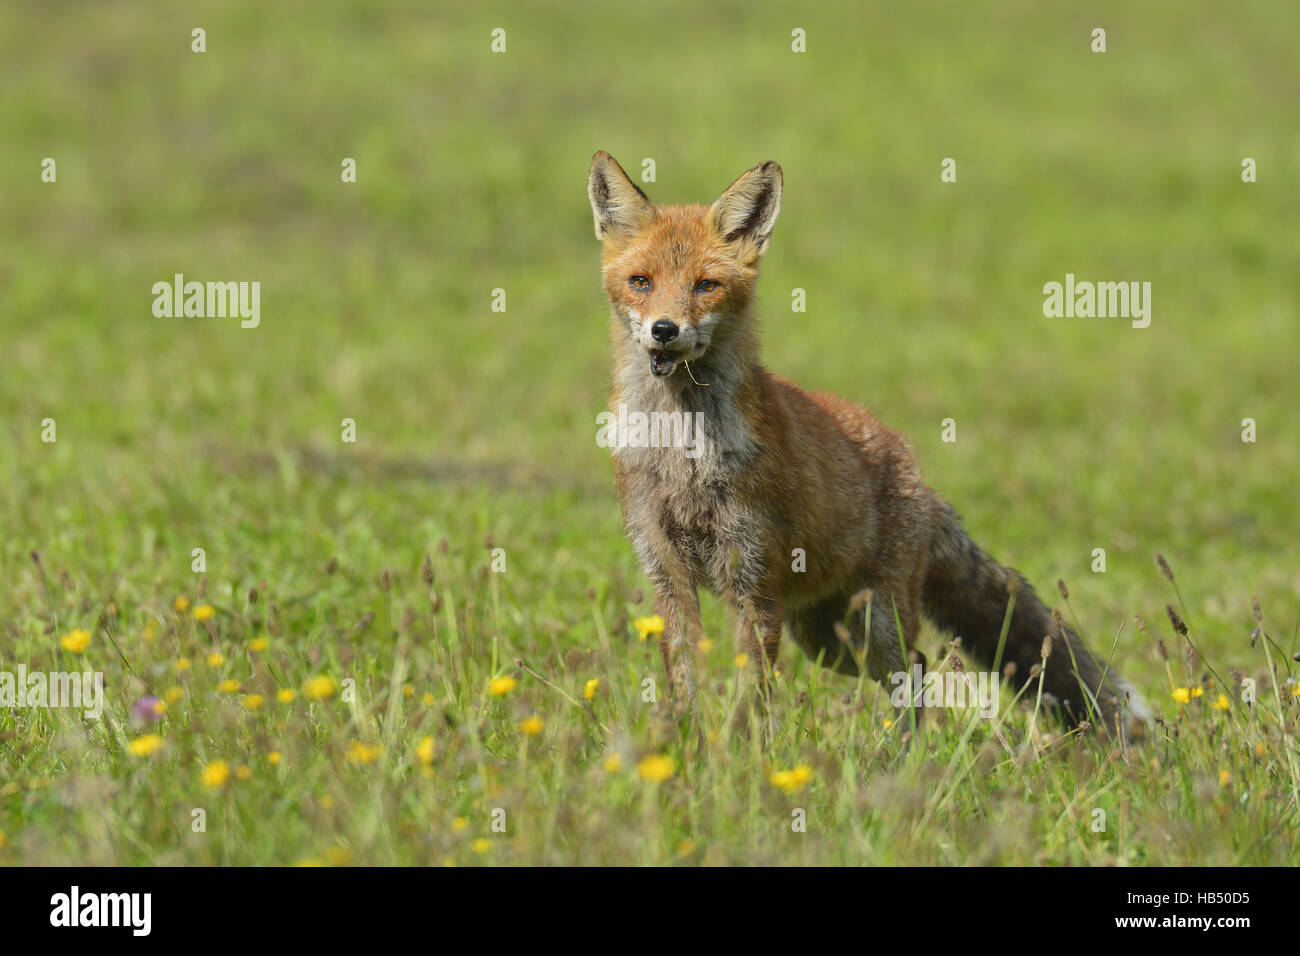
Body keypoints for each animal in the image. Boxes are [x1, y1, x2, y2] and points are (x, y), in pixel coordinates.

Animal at [588, 151, 1149, 738]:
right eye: (641, 281)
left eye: (705, 286)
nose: (664, 330)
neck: (684, 451)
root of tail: (916, 473)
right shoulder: (667, 575)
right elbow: (683, 681)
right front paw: (684, 747)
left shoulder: (753, 581)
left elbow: (752, 692)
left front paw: (743, 752)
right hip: (826, 639)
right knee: (907, 670)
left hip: (874, 622)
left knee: (915, 668)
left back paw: (905, 754)